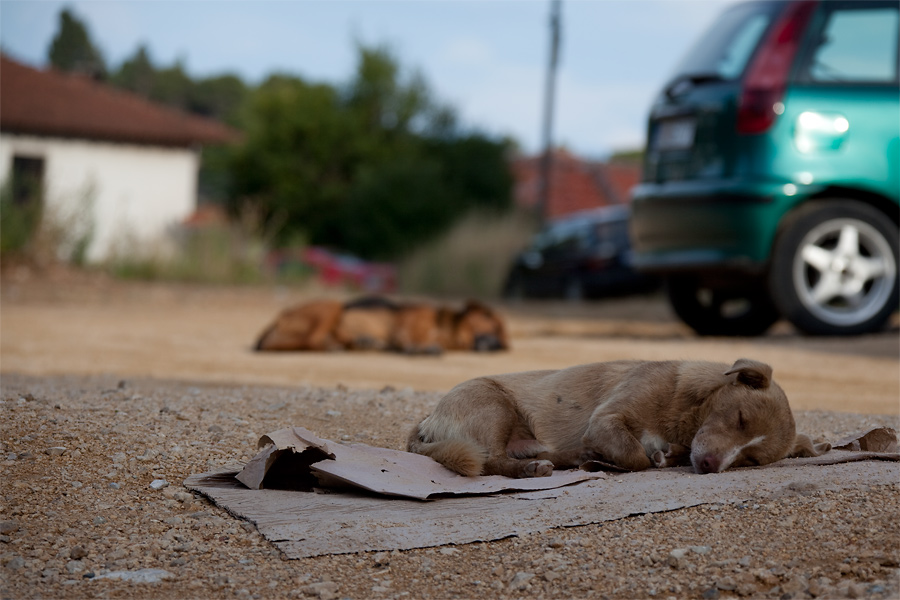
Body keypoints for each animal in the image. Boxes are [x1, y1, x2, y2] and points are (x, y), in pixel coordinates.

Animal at [408, 356, 828, 478]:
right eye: (739, 418)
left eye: (751, 460)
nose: (709, 465)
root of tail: (427, 421)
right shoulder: (606, 420)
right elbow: (636, 457)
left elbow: (651, 454)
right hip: (493, 406)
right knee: (490, 461)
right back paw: (532, 470)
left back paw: (579, 459)